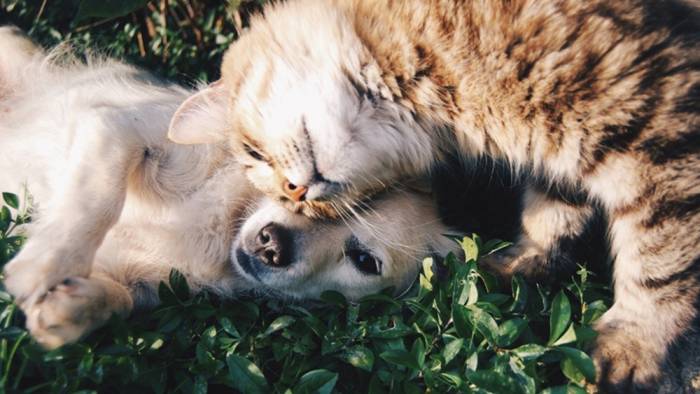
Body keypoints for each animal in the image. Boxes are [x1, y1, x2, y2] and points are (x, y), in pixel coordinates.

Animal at [170, 0, 700, 390]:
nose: (296, 191)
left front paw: (633, 348)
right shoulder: (562, 154)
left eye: (254, 153)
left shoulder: (657, 130)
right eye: (289, 198)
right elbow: (552, 215)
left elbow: (659, 263)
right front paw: (518, 265)